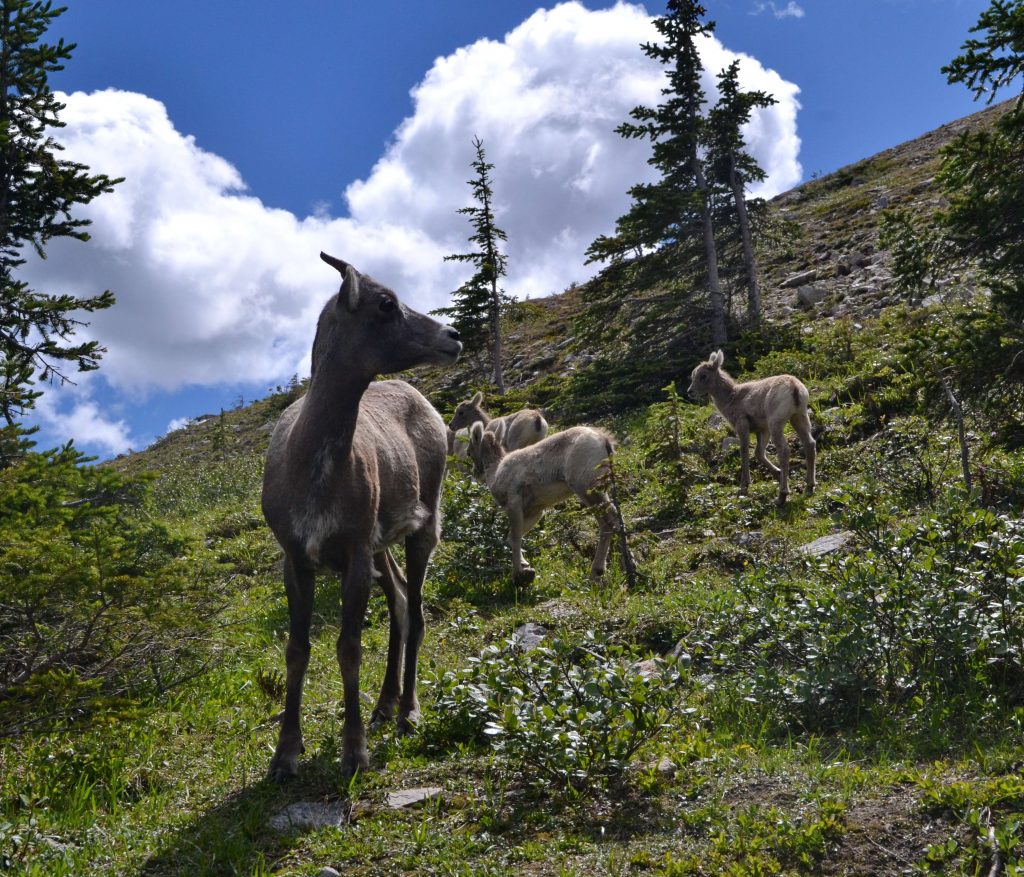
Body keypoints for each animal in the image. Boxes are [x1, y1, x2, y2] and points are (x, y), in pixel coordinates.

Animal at [260, 253, 460, 782]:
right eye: (385, 302)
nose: (453, 335)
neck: (312, 472)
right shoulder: (297, 557)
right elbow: (297, 650)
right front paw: (285, 755)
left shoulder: (351, 553)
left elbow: (348, 648)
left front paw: (354, 752)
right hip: (381, 544)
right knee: (401, 602)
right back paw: (385, 705)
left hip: (423, 525)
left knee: (418, 610)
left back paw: (408, 711)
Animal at [468, 422, 614, 586]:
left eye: (469, 452)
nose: (476, 473)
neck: (496, 470)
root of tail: (603, 439)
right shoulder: (535, 511)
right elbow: (511, 537)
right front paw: (526, 566)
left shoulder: (514, 504)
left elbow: (515, 537)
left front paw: (519, 575)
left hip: (586, 489)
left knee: (608, 523)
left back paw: (596, 573)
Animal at [688, 346, 815, 504]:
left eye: (703, 375)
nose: (689, 392)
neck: (731, 398)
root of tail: (795, 387)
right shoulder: (762, 430)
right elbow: (758, 453)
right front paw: (777, 473)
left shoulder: (742, 425)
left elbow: (744, 452)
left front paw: (744, 486)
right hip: (798, 416)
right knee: (810, 443)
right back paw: (809, 486)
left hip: (776, 423)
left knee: (784, 450)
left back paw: (782, 495)